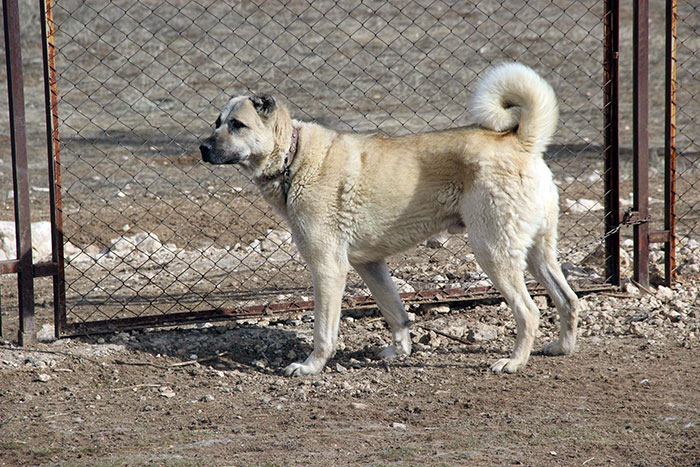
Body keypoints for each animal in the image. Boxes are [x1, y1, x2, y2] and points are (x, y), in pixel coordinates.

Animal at [198, 63, 580, 376]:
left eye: (237, 125)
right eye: (217, 123)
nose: (202, 147)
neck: (294, 157)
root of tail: (522, 141)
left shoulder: (328, 268)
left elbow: (324, 331)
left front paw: (310, 367)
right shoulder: (370, 265)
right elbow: (395, 311)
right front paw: (399, 351)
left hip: (493, 252)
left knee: (529, 311)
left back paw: (513, 362)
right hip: (537, 253)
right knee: (568, 299)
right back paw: (561, 347)